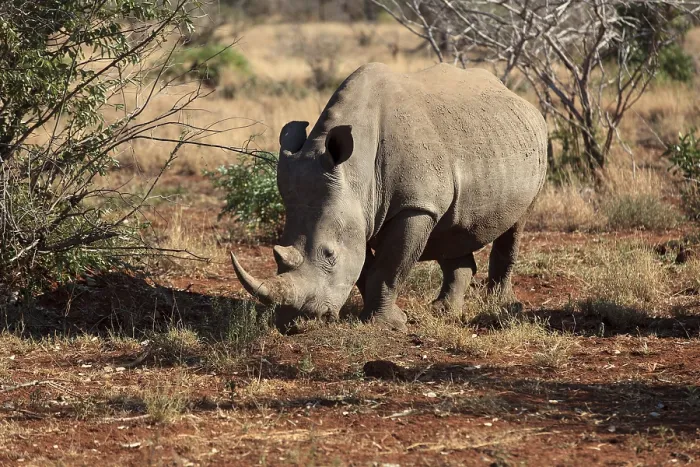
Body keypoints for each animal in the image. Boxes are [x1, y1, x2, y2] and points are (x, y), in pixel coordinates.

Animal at [230, 62, 547, 332]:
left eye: (329, 254)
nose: (295, 322)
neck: (356, 174)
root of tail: (517, 97)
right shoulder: (359, 209)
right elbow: (364, 264)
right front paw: (377, 316)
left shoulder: (415, 206)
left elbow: (389, 266)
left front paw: (386, 325)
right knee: (452, 230)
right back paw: (442, 312)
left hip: (536, 142)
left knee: (515, 224)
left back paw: (498, 304)